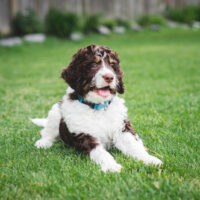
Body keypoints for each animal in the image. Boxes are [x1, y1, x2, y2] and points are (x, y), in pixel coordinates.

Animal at [31, 44, 162, 173]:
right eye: (93, 64)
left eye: (112, 65)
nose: (109, 77)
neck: (98, 107)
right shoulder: (84, 134)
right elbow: (100, 152)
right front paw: (111, 166)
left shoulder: (122, 128)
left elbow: (134, 146)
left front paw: (150, 160)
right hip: (55, 112)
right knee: (47, 132)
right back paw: (43, 143)